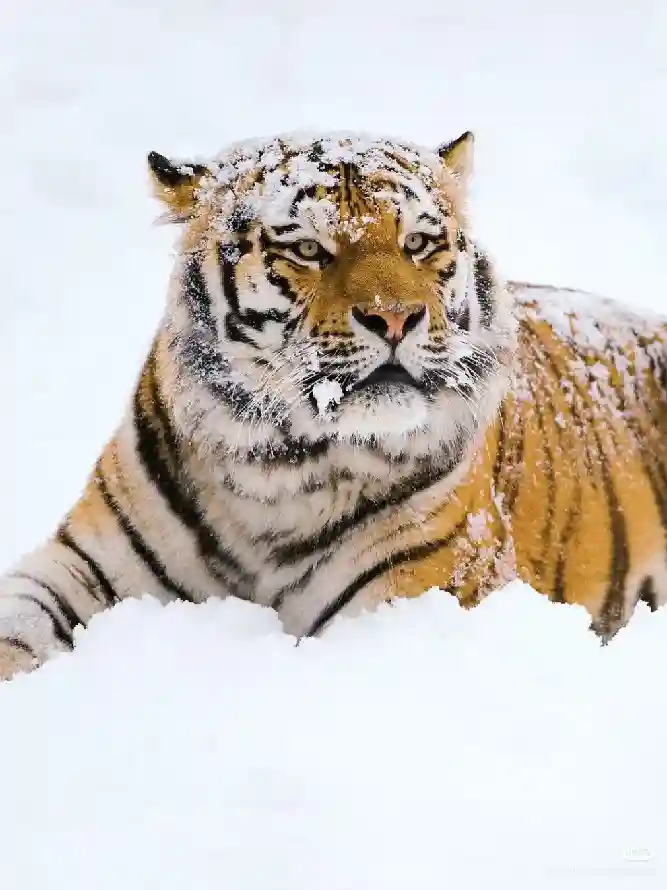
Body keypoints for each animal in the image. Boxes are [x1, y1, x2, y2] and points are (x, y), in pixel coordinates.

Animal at [2, 128, 667, 682]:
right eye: (308, 249)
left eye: (418, 243)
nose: (395, 318)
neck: (274, 468)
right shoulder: (80, 562)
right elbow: (18, 625)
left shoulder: (419, 592)